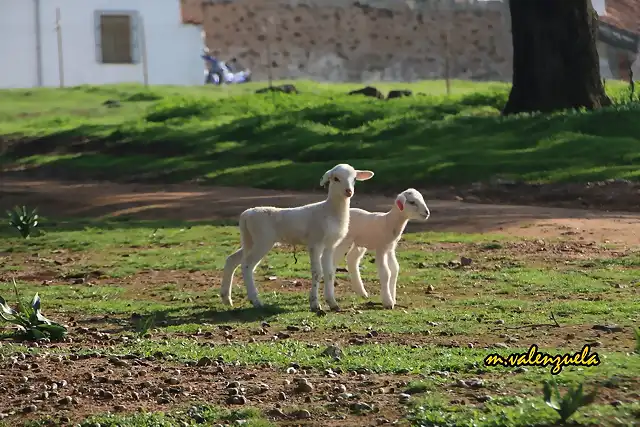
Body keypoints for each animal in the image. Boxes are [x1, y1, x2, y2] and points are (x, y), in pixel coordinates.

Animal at [221, 163, 376, 310]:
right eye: (336, 178)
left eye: (354, 179)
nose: (349, 191)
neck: (329, 211)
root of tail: (246, 214)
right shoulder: (315, 242)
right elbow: (317, 272)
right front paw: (315, 304)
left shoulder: (330, 245)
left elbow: (329, 272)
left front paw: (333, 303)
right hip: (263, 240)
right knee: (247, 265)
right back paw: (256, 301)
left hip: (250, 240)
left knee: (232, 260)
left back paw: (226, 299)